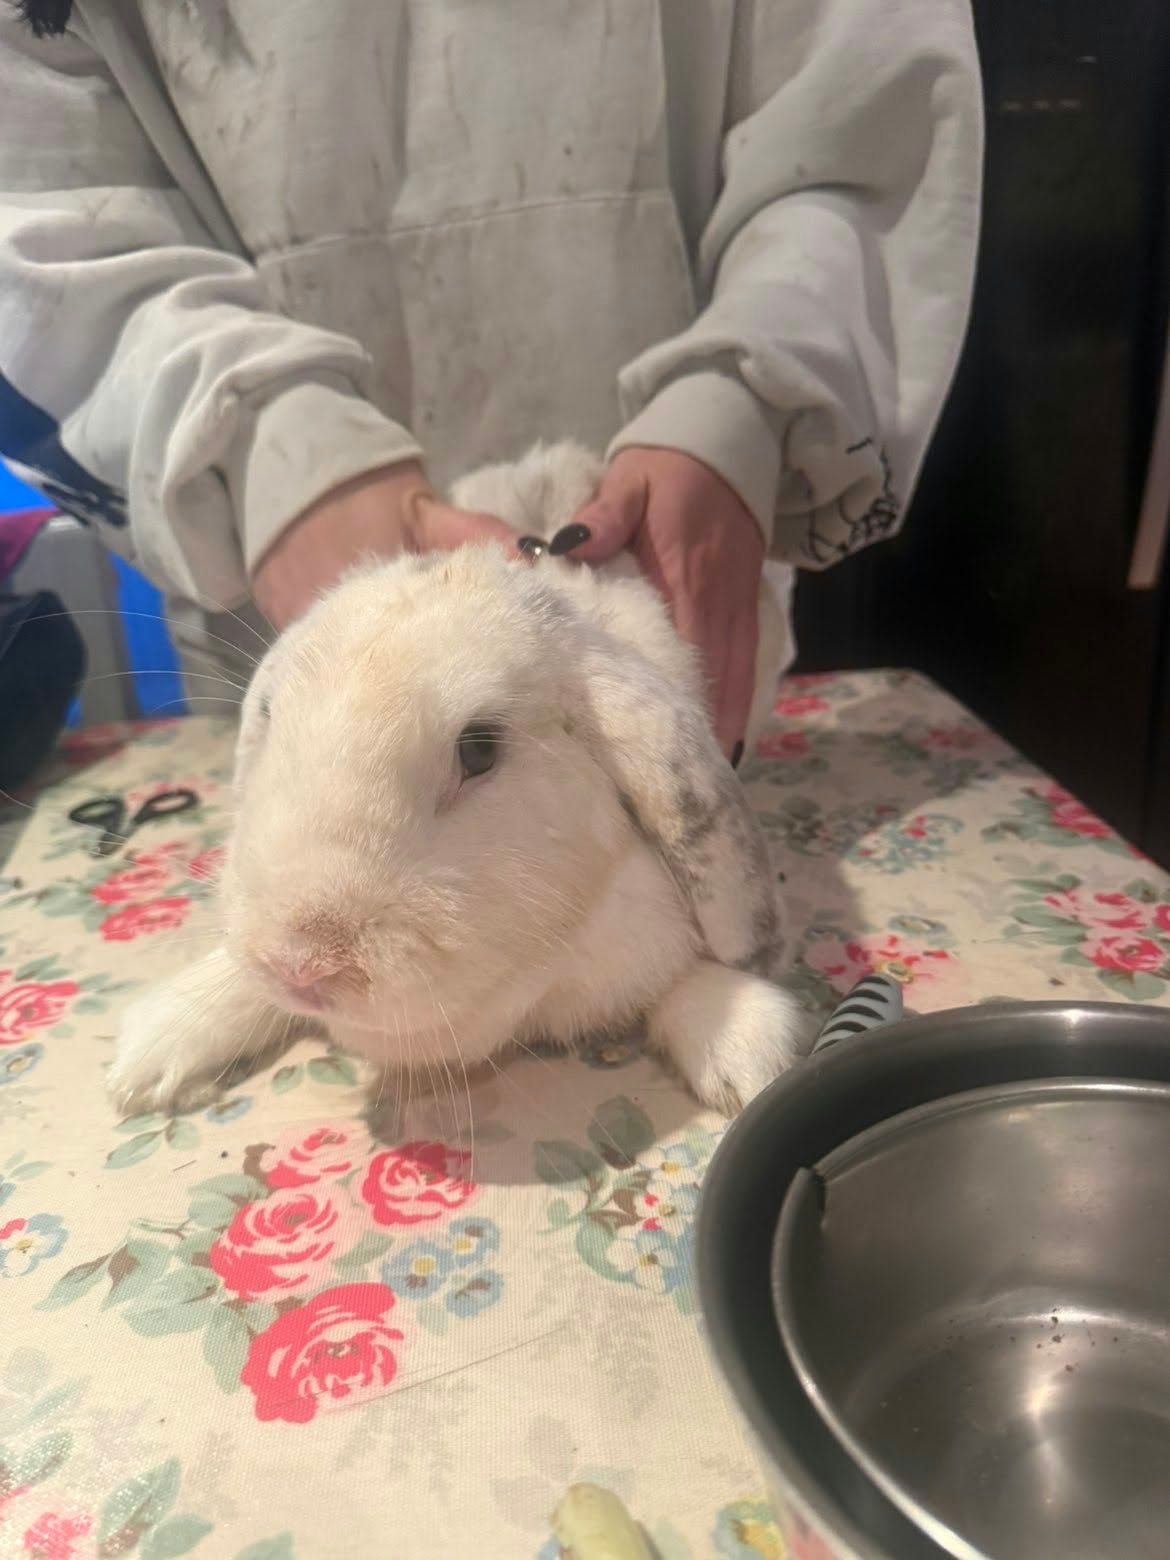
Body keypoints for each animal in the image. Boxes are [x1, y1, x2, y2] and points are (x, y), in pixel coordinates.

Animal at [109, 441, 810, 1119]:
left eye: (478, 752)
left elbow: (689, 971)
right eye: (269, 714)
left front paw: (746, 1049)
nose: (301, 966)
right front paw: (151, 1051)